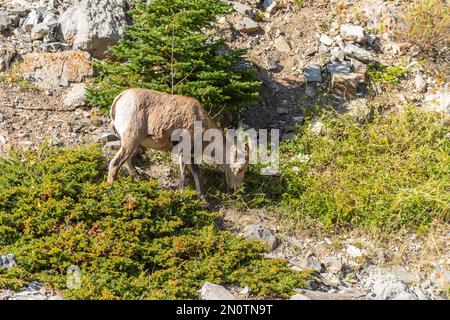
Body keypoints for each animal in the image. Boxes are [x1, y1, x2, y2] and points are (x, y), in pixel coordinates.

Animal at [106, 87, 250, 195]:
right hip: (132, 137)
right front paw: (181, 195)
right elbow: (183, 172)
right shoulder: (184, 148)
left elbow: (195, 171)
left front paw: (202, 197)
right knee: (115, 162)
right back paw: (109, 188)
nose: (235, 189)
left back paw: (138, 178)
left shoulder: (191, 153)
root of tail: (119, 99)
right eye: (240, 168)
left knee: (126, 160)